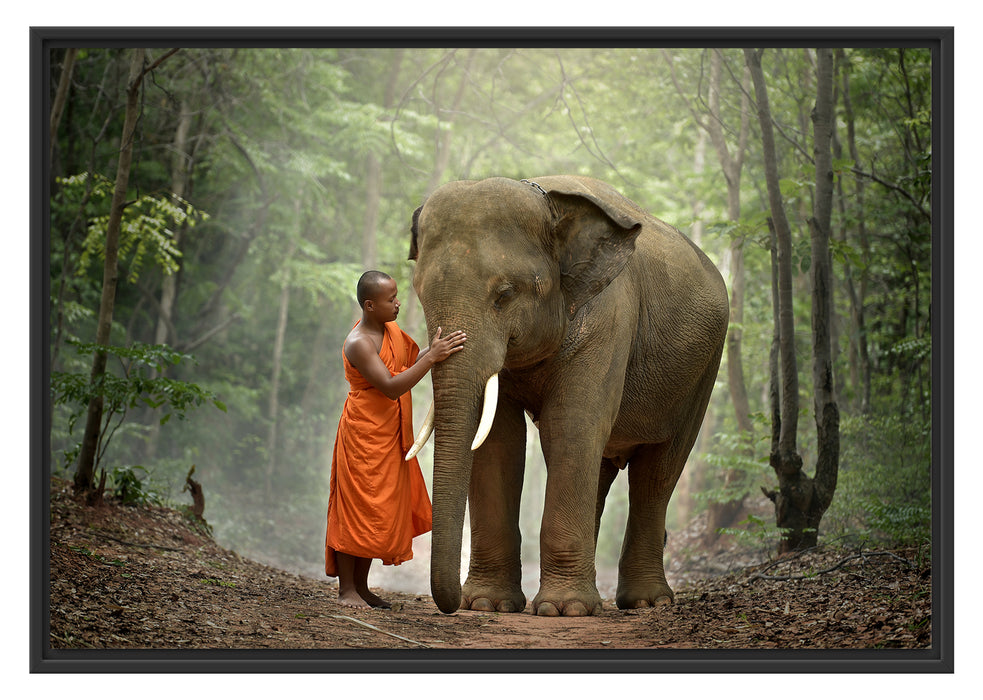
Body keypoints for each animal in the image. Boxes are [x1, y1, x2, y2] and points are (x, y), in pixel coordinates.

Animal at [406, 175, 729, 616]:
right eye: (420, 294)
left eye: (504, 295)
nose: (453, 604)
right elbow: (500, 440)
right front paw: (490, 604)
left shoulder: (609, 317)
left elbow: (571, 425)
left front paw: (564, 610)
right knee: (603, 468)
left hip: (703, 372)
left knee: (658, 471)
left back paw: (645, 602)